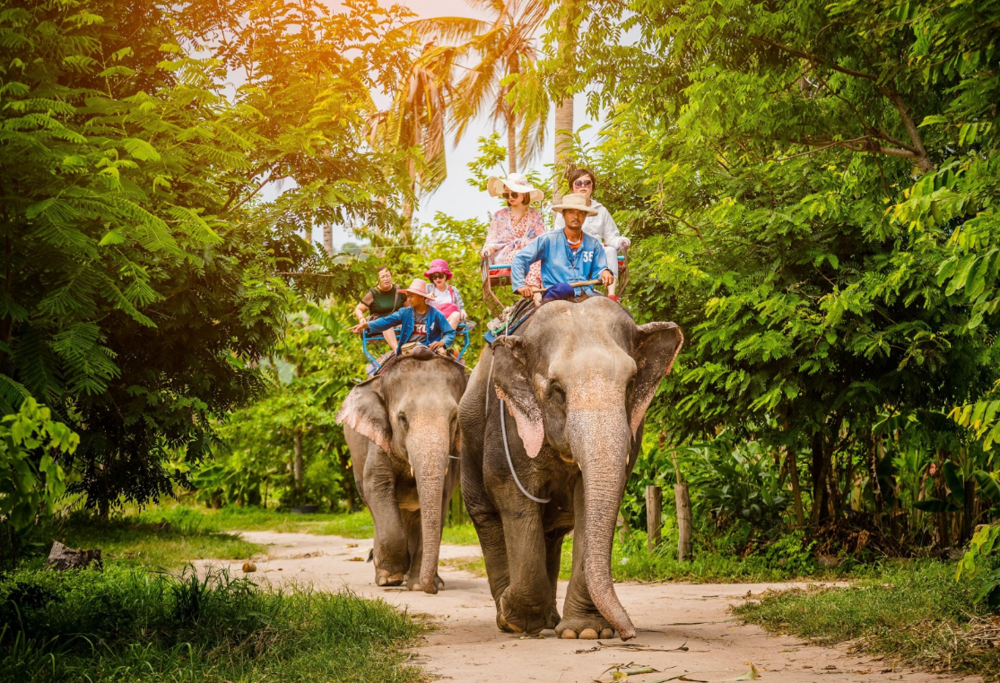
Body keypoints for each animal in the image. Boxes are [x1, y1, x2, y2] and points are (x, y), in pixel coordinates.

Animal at [336, 349, 467, 593]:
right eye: (402, 419)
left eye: (454, 418)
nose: (433, 589)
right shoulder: (378, 439)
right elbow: (377, 486)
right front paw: (390, 578)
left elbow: (442, 498)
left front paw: (418, 585)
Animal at [459, 296, 682, 640]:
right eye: (557, 390)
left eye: (631, 384)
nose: (629, 633)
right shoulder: (507, 422)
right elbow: (513, 495)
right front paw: (519, 618)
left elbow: (588, 503)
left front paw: (585, 631)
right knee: (487, 518)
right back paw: (507, 619)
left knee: (550, 534)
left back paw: (548, 619)